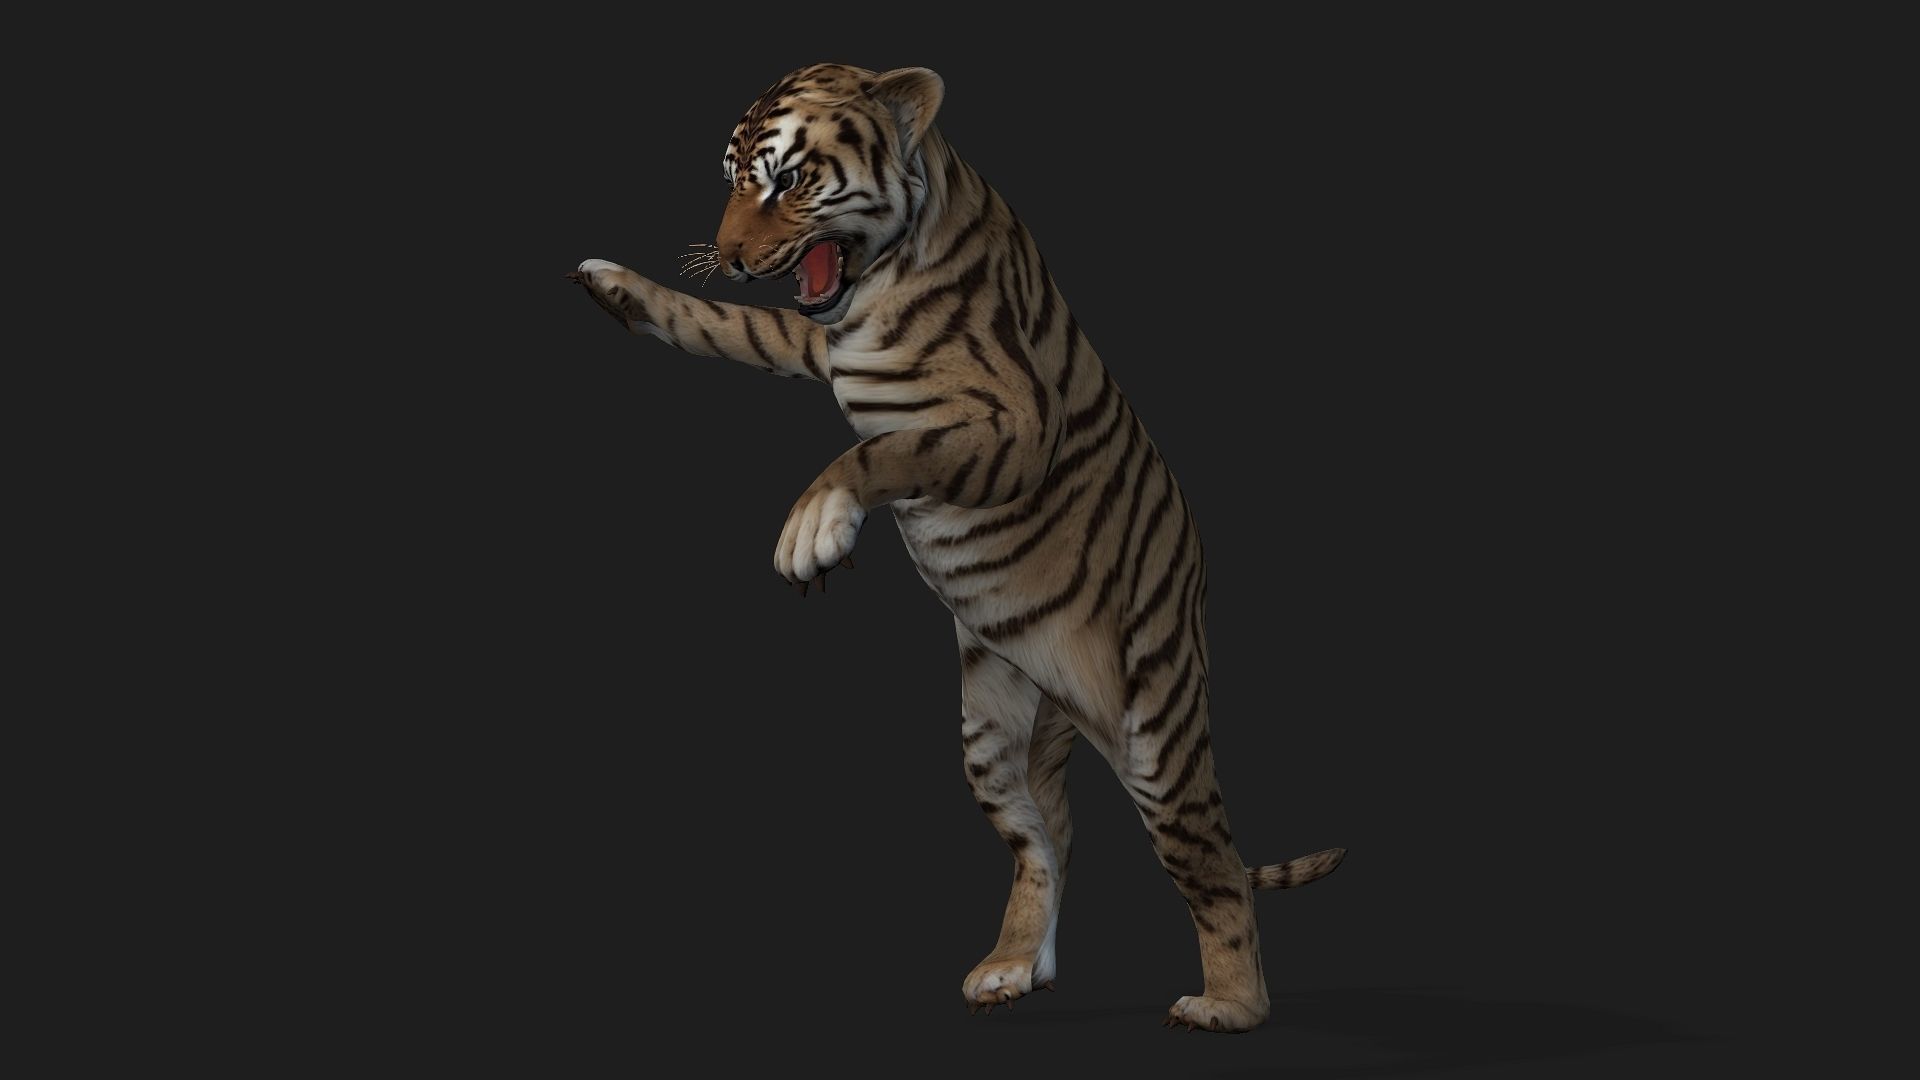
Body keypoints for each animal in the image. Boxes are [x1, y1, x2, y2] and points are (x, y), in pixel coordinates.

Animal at [566, 62, 1344, 1034]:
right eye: (734, 180)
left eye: (788, 180)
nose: (736, 256)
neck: (877, 279)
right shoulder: (825, 337)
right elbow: (734, 326)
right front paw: (615, 286)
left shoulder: (1012, 430)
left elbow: (883, 450)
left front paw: (815, 528)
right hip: (992, 722)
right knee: (1044, 840)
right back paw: (1014, 967)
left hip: (1157, 729)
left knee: (1210, 865)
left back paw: (1228, 1006)